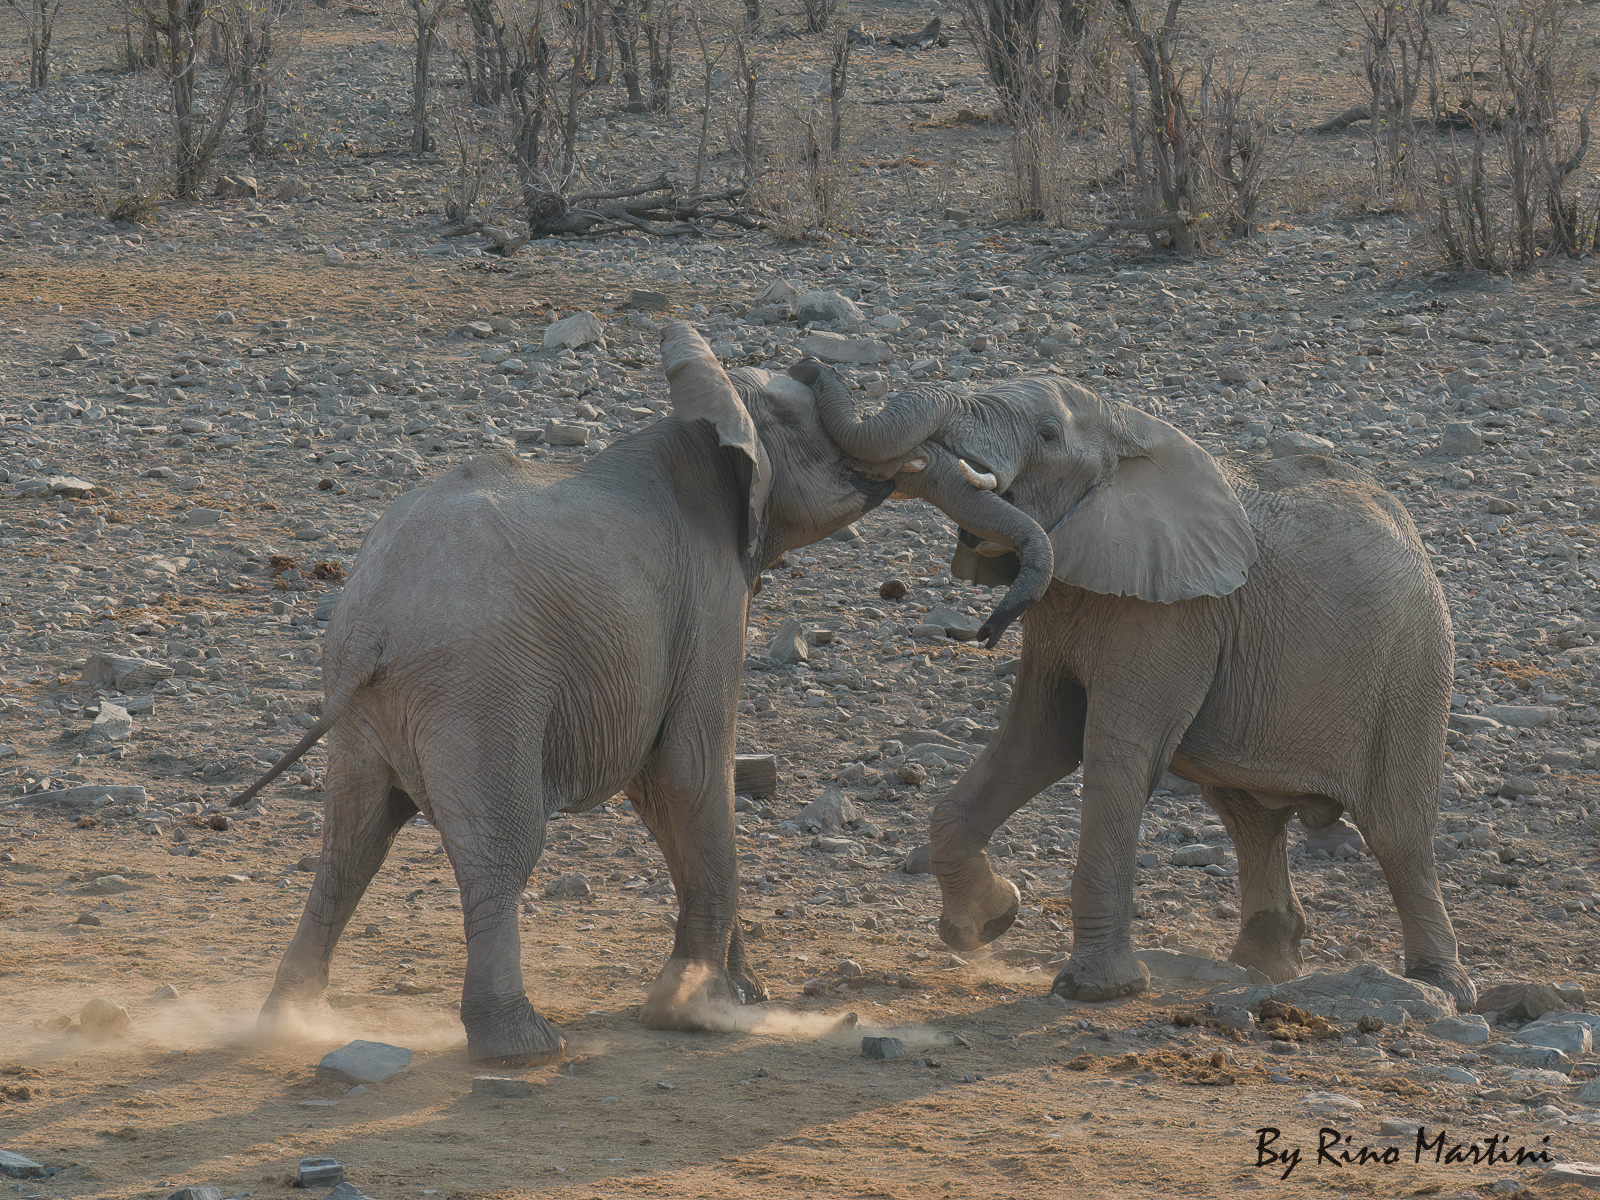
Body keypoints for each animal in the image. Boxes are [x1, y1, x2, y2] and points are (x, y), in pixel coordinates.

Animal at [228, 325, 947, 1066]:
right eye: (817, 429)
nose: (810, 361)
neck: (705, 421)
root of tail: (376, 624)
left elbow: (658, 794)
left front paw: (741, 997)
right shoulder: (709, 597)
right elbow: (691, 771)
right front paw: (698, 1011)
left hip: (365, 708)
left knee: (351, 848)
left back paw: (291, 1024)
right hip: (479, 691)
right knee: (500, 850)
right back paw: (524, 1047)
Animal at [793, 362, 1474, 1010]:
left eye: (1048, 435)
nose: (805, 366)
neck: (1128, 431)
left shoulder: (1173, 616)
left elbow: (1115, 756)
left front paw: (1093, 990)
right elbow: (1039, 741)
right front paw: (988, 924)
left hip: (1413, 670)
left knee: (1396, 832)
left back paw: (1439, 986)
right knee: (1249, 818)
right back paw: (1262, 967)